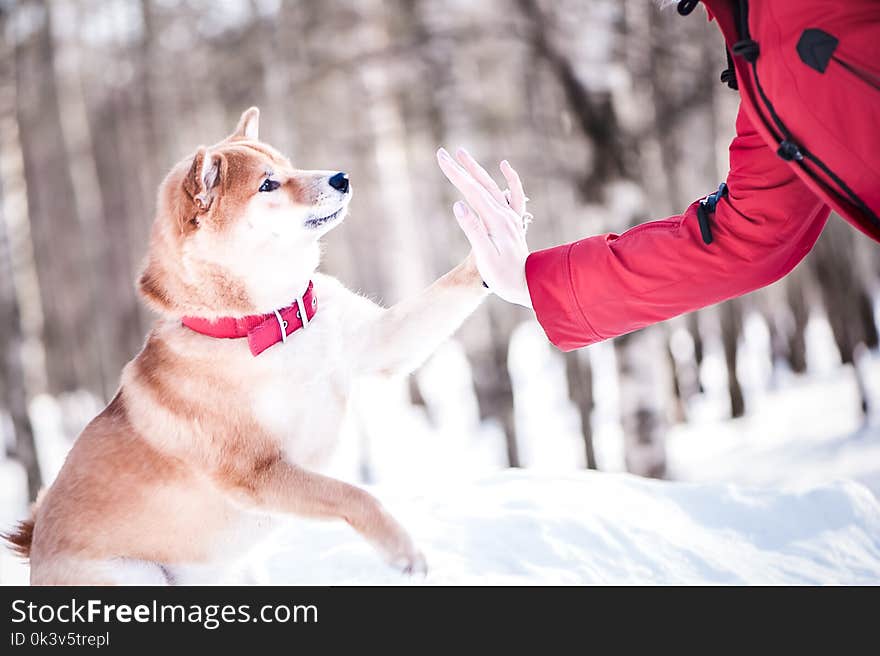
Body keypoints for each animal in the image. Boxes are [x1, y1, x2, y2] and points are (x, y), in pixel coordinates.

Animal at [6, 106, 488, 584]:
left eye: (289, 165)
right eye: (267, 184)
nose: (342, 177)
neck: (270, 323)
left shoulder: (383, 342)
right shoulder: (257, 474)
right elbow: (353, 495)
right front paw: (401, 548)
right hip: (135, 576)